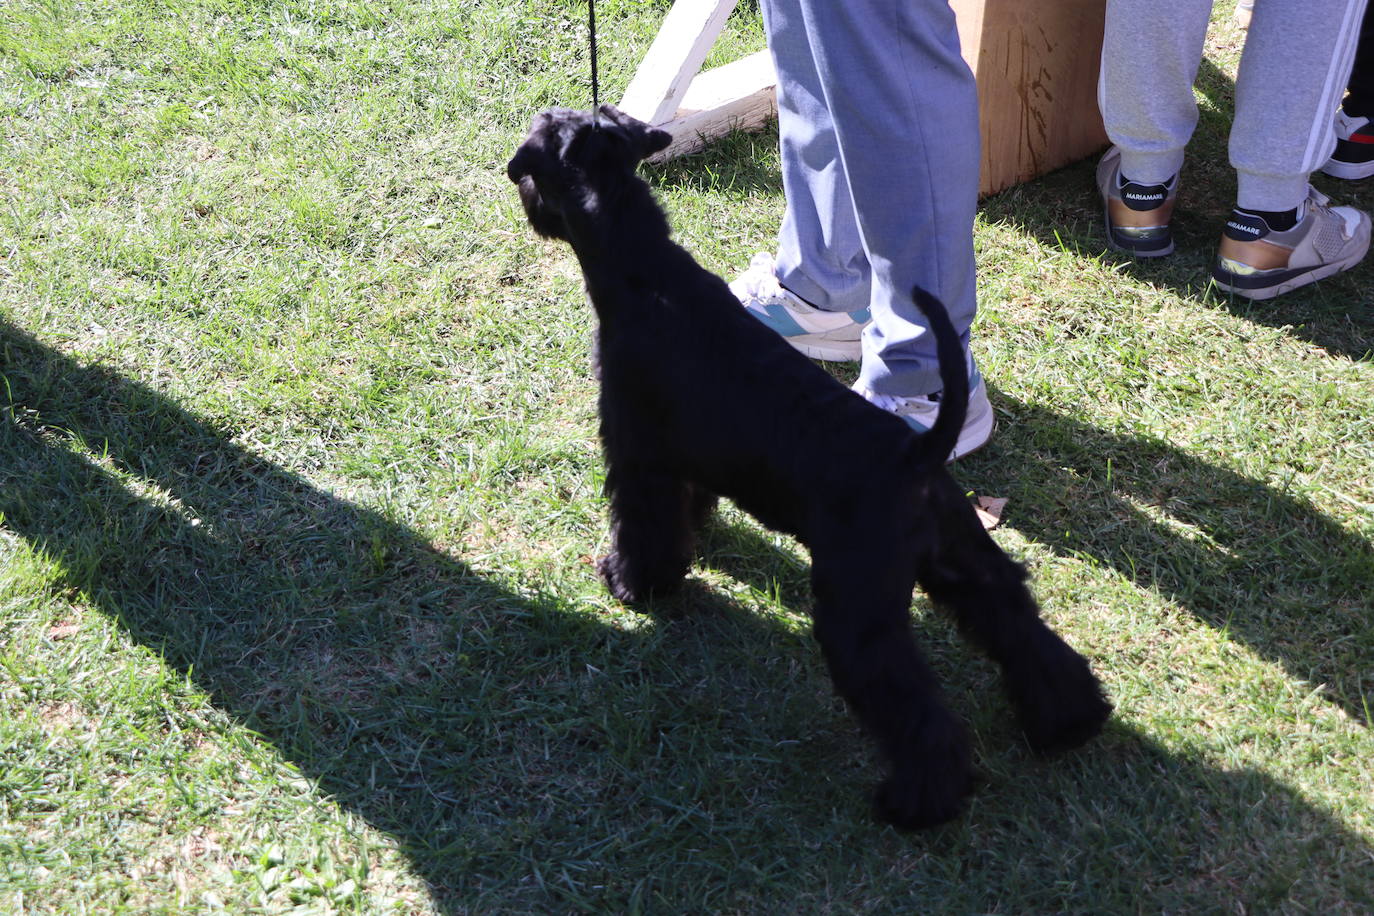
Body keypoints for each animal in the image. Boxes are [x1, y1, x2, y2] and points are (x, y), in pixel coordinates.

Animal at [511, 107, 1110, 829]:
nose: (520, 185)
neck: (642, 269)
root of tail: (915, 454)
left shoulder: (638, 457)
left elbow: (644, 528)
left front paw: (631, 582)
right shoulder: (687, 459)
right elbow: (692, 504)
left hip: (857, 611)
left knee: (915, 709)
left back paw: (916, 803)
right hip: (966, 562)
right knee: (1019, 627)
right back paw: (1069, 721)